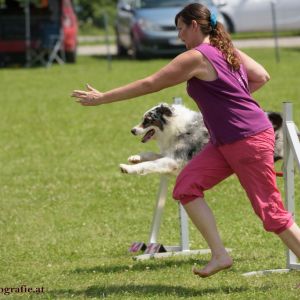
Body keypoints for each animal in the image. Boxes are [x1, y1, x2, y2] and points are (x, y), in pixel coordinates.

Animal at [120, 102, 286, 176]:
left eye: (147, 120)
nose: (132, 130)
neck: (173, 127)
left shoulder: (174, 160)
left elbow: (149, 165)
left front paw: (128, 168)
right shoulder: (171, 153)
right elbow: (149, 154)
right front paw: (135, 158)